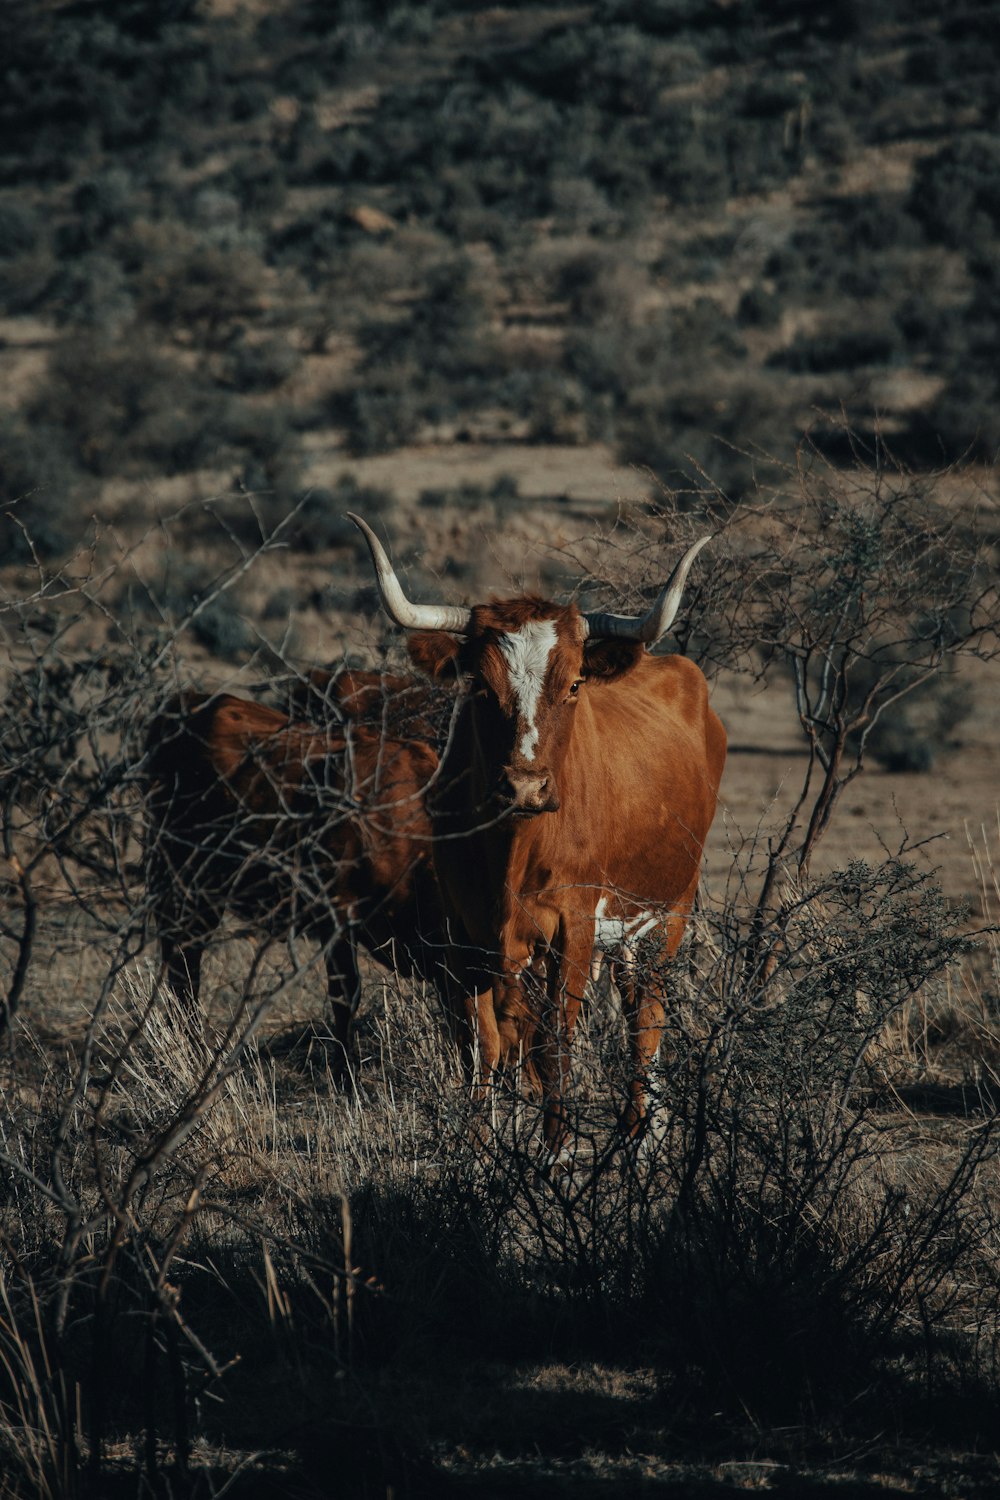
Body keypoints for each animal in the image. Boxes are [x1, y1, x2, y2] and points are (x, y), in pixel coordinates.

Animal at [143, 681, 446, 1080]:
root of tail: (186, 702)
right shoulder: (337, 915)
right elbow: (345, 993)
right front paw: (346, 1076)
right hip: (186, 884)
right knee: (183, 964)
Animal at [352, 516, 728, 1158]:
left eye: (574, 683)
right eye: (479, 685)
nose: (525, 786)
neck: (513, 851)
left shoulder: (572, 927)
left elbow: (555, 1044)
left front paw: (555, 1153)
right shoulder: (463, 932)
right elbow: (482, 1046)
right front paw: (479, 1154)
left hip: (669, 910)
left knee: (646, 1019)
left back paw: (643, 1139)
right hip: (623, 935)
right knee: (629, 999)